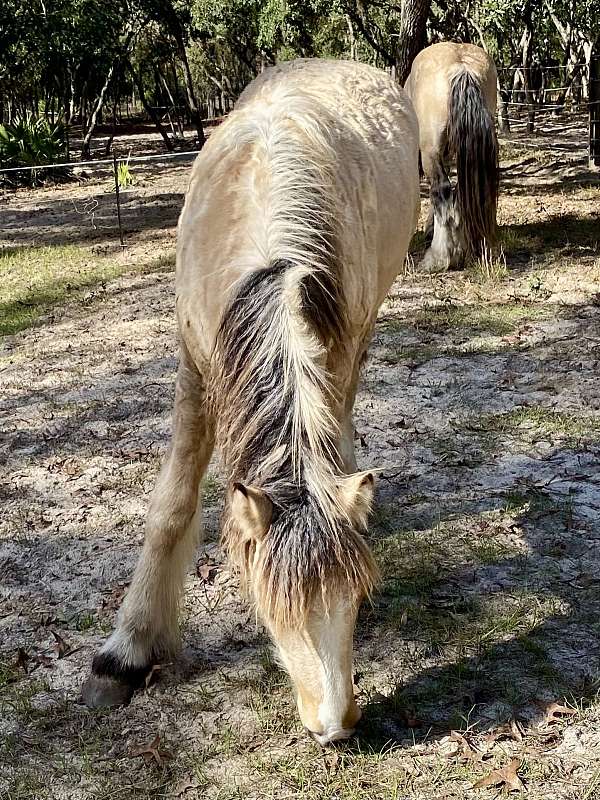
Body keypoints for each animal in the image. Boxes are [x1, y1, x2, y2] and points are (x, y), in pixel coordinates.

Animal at [82, 59, 420, 748]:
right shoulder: (193, 366)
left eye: (351, 599)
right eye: (273, 606)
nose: (335, 726)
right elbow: (172, 505)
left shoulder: (336, 345)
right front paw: (125, 653)